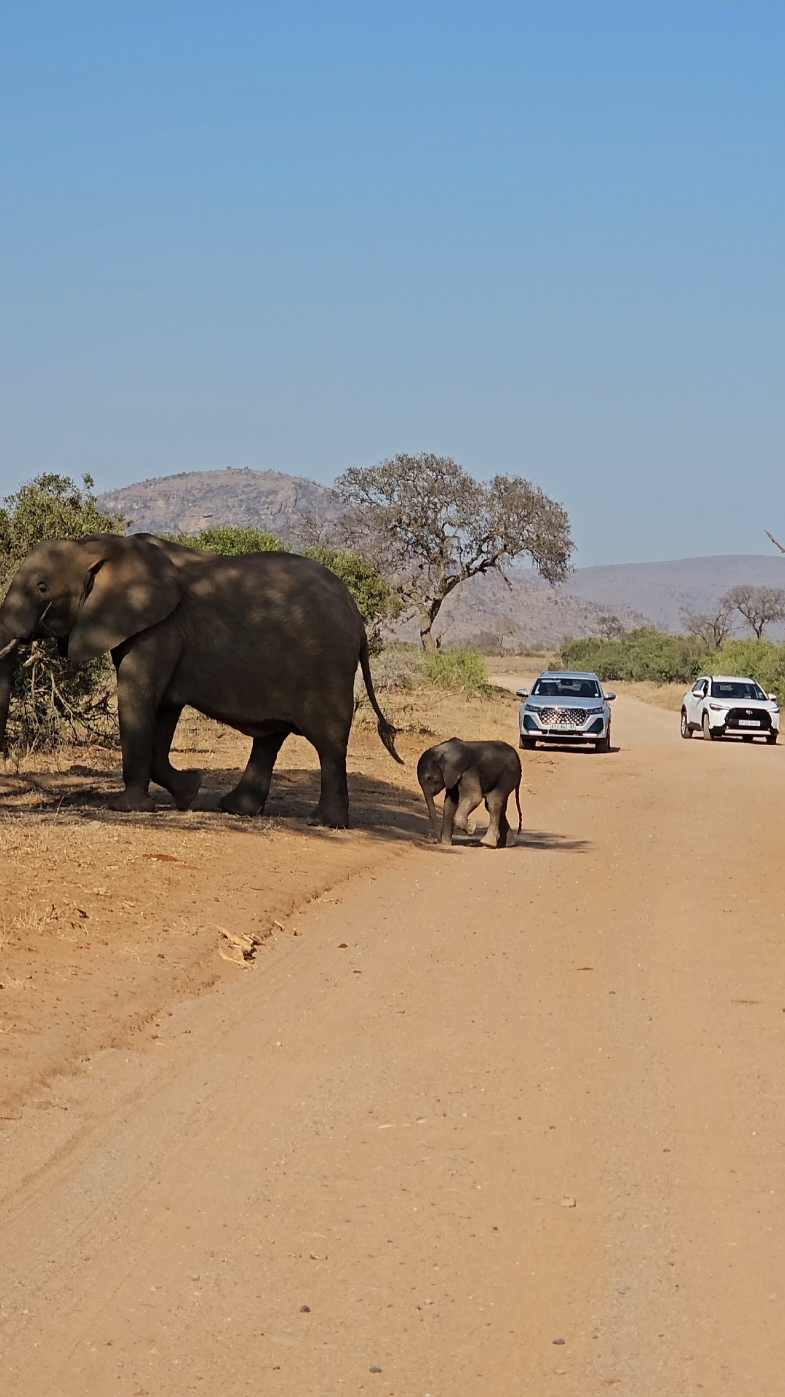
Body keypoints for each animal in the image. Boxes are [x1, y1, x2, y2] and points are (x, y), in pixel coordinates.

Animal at [0, 528, 399, 821]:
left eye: (41, 588)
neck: (99, 545)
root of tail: (358, 618)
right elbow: (162, 708)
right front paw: (189, 791)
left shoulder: (159, 628)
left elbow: (139, 696)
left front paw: (128, 808)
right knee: (271, 736)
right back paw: (236, 809)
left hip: (327, 665)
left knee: (328, 741)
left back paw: (324, 822)